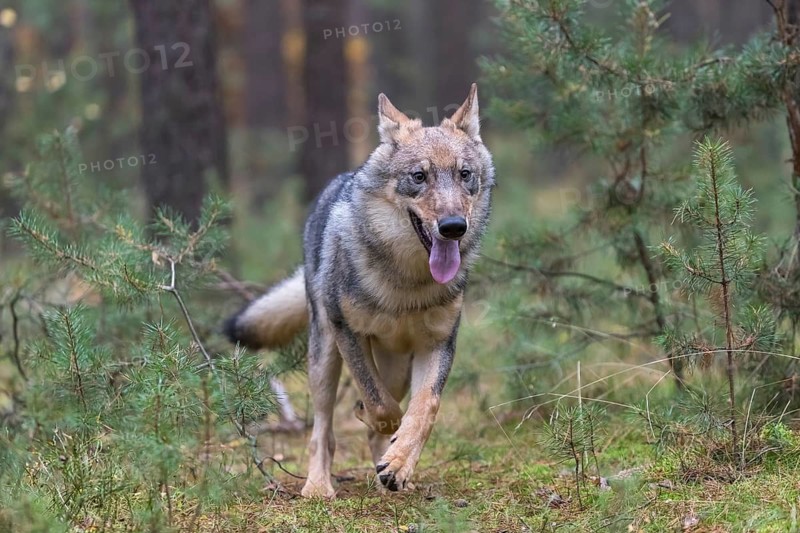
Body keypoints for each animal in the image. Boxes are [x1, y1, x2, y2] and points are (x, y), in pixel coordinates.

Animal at [225, 84, 495, 498]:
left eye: (464, 174)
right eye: (419, 176)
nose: (453, 227)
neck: (407, 283)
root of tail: (338, 182)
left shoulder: (439, 343)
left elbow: (424, 408)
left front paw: (398, 463)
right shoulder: (347, 332)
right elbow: (381, 407)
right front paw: (373, 420)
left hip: (397, 364)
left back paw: (388, 473)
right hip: (324, 354)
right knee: (322, 429)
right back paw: (318, 487)